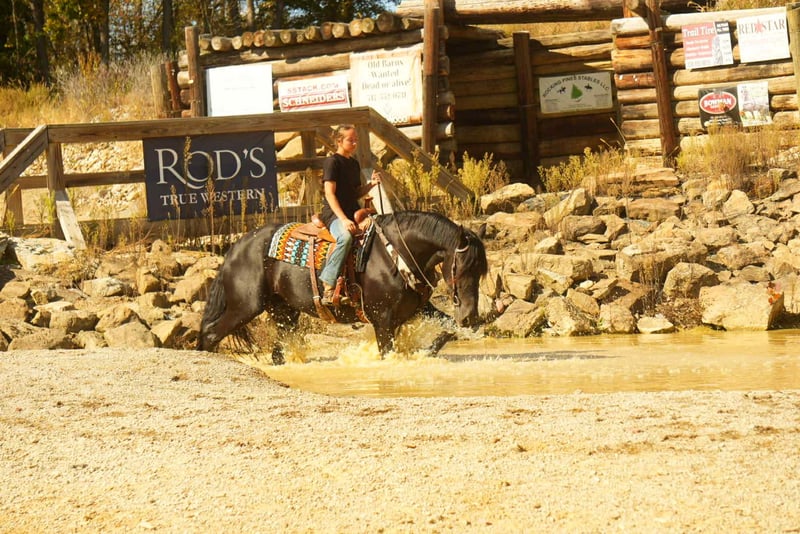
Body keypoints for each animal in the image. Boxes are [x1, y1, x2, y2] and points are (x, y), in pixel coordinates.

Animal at [197, 210, 488, 364]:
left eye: (480, 271)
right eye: (461, 269)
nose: (470, 316)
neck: (395, 254)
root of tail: (236, 247)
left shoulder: (416, 309)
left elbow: (446, 329)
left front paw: (428, 350)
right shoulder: (383, 321)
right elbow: (387, 353)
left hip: (284, 312)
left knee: (278, 350)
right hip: (246, 306)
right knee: (210, 334)